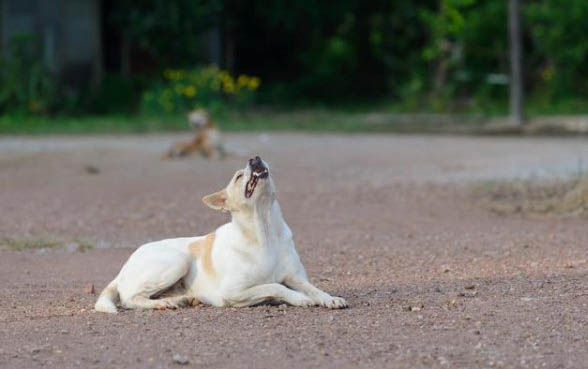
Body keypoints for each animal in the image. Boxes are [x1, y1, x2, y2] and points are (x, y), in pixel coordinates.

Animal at [94, 156, 346, 314]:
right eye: (238, 177)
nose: (255, 159)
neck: (264, 230)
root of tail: (124, 267)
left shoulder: (296, 278)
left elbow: (313, 288)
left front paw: (328, 298)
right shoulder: (233, 291)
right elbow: (275, 286)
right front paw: (300, 299)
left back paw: (178, 299)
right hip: (178, 261)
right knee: (130, 299)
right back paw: (162, 304)